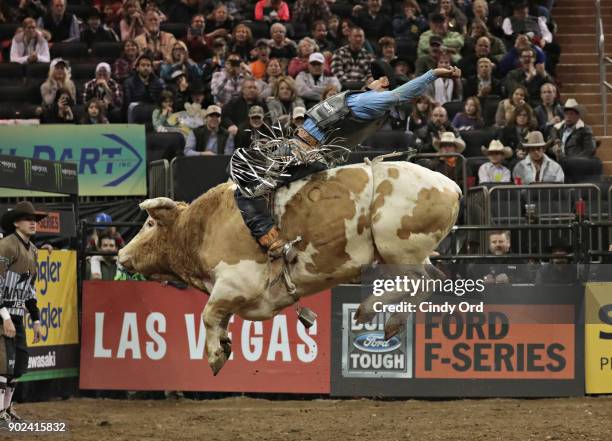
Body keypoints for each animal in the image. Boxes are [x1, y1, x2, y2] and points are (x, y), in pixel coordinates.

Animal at [118, 160, 460, 372]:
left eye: (149, 223)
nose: (122, 254)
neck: (202, 226)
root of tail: (451, 186)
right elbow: (219, 318)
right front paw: (224, 345)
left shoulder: (236, 283)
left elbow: (208, 314)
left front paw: (215, 356)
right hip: (408, 254)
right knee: (432, 279)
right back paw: (388, 319)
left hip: (398, 249)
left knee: (420, 280)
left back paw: (371, 310)